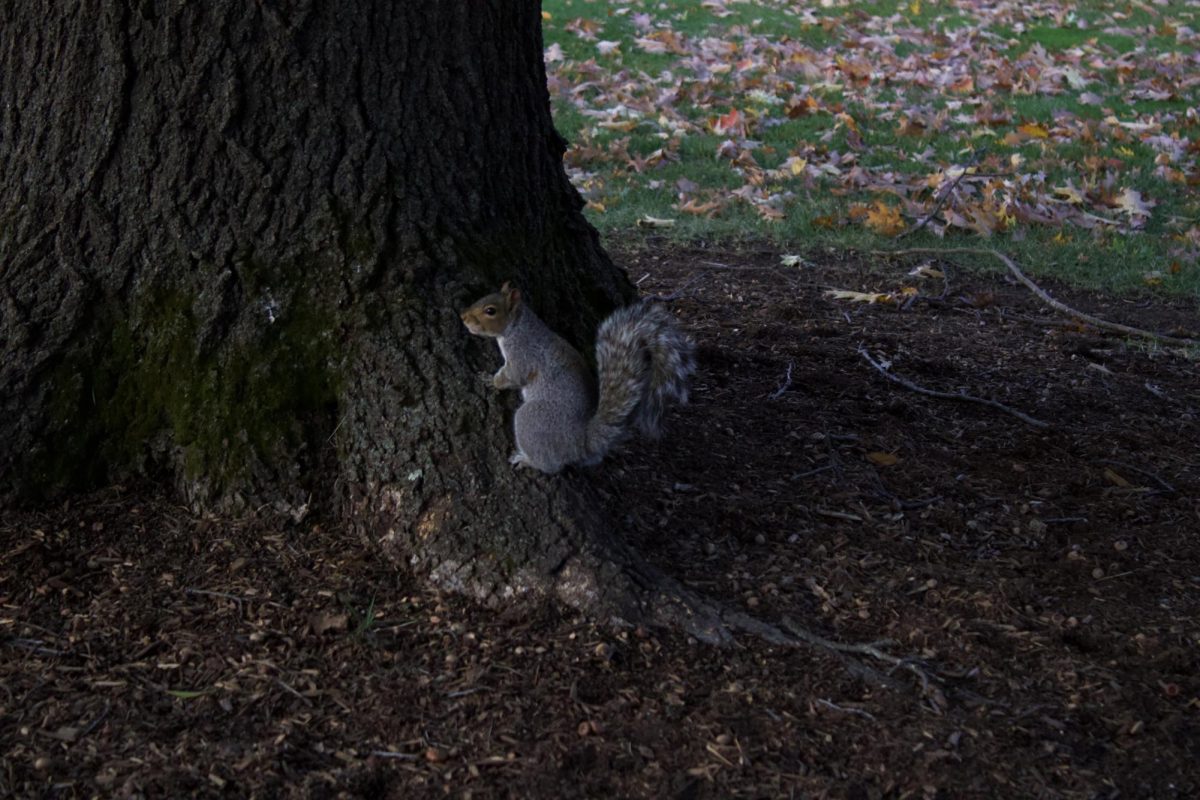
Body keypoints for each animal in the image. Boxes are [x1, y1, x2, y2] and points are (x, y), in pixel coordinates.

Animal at [458, 281, 696, 472]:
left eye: (490, 310)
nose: (463, 316)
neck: (516, 327)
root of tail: (581, 441)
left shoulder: (523, 355)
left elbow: (512, 376)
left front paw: (490, 381)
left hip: (532, 419)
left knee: (551, 465)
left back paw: (528, 460)